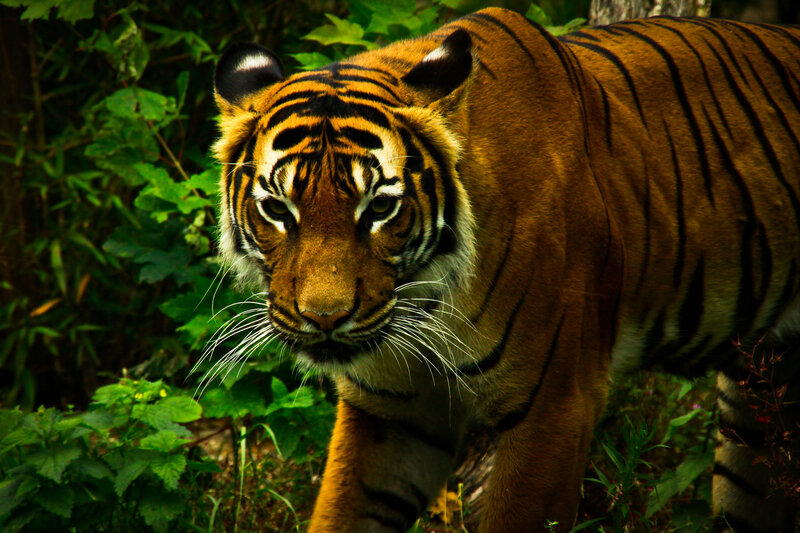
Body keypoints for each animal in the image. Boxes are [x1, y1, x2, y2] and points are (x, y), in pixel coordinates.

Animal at [211, 6, 800, 532]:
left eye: (379, 208)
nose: (325, 319)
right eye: (277, 209)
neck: (428, 300)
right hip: (759, 401)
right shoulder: (390, 411)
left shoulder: (555, 405)